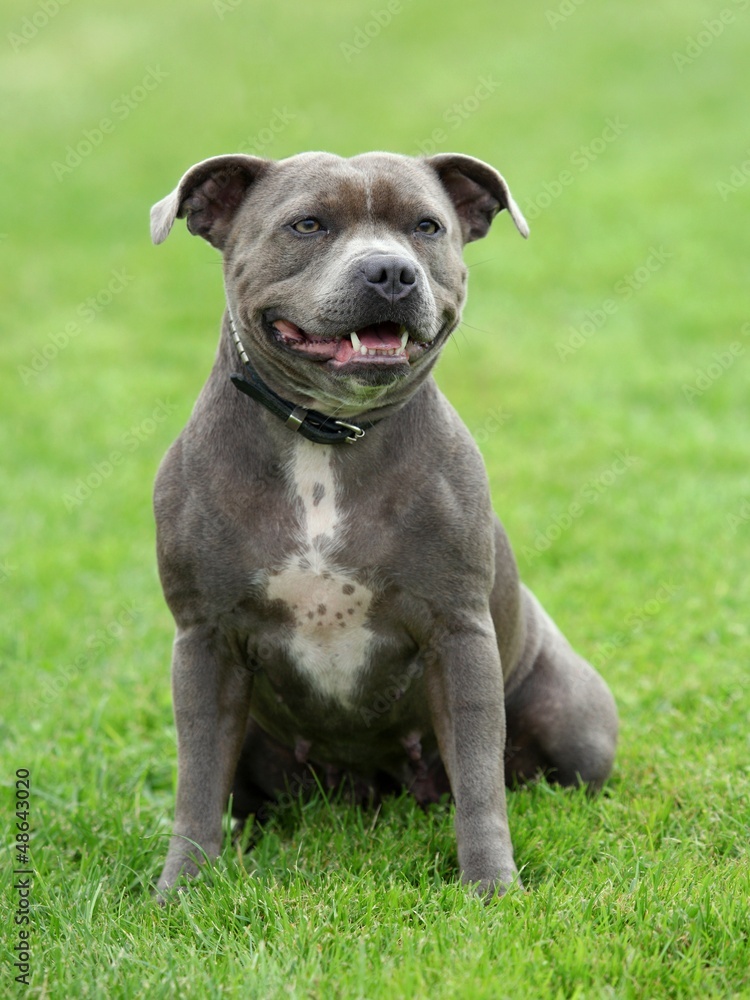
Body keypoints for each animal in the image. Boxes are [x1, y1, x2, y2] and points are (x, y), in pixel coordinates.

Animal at [150, 146, 620, 892]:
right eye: (308, 224)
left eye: (426, 226)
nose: (391, 271)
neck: (326, 436)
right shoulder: (205, 643)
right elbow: (196, 784)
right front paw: (182, 890)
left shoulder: (458, 635)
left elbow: (480, 782)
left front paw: (492, 887)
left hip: (575, 724)